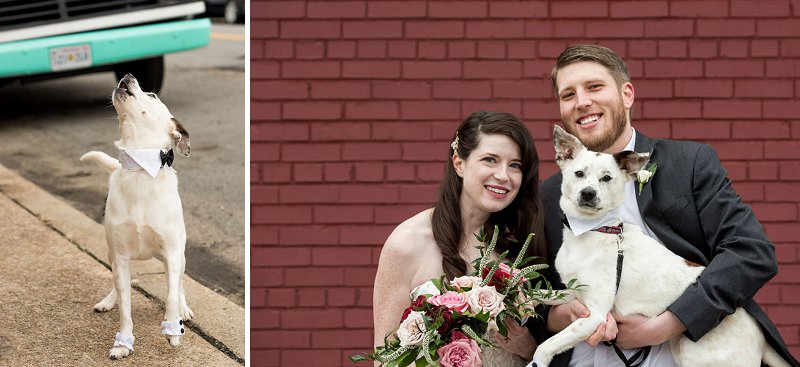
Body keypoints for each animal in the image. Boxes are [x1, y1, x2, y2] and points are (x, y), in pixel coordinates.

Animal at [81, 74, 195, 360]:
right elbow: (125, 309)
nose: (127, 76)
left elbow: (172, 294)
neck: (139, 169)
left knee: (179, 285)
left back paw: (184, 309)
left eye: (152, 95)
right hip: (111, 253)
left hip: (180, 255)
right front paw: (123, 344)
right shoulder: (120, 256)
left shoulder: (172, 253)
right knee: (117, 285)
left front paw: (173, 329)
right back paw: (108, 300)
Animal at [524, 126, 788, 367]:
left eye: (606, 178)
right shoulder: (574, 293)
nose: (588, 193)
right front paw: (522, 297)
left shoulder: (595, 315)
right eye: (579, 173)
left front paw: (537, 361)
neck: (592, 231)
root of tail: (760, 336)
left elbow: (547, 344)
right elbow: (543, 293)